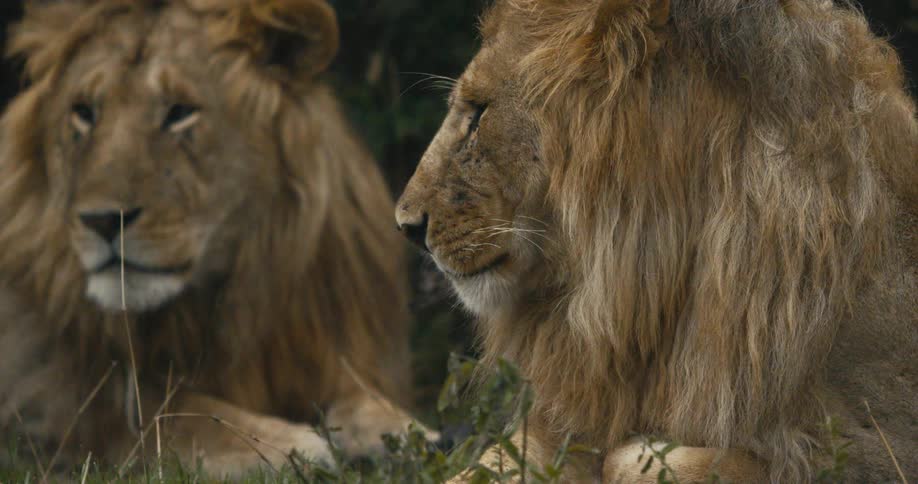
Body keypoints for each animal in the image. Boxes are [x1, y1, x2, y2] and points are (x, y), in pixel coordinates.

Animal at [0, 0, 425, 476]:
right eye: (84, 112)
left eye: (180, 111)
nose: (102, 221)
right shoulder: (48, 389)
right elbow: (173, 414)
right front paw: (286, 446)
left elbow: (361, 396)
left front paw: (399, 432)